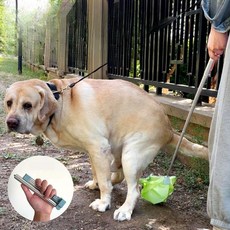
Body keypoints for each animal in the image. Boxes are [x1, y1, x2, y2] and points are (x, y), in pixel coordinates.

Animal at [4, 78, 208, 221]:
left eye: (28, 105)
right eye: (8, 103)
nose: (11, 122)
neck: (60, 102)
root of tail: (169, 129)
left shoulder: (97, 146)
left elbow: (104, 181)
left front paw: (103, 202)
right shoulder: (94, 151)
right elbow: (98, 174)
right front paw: (97, 184)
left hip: (131, 155)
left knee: (134, 189)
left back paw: (125, 210)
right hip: (118, 149)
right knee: (119, 175)